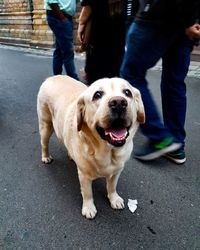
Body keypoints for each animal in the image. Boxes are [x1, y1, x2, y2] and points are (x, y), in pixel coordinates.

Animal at [36, 75, 145, 219]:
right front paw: (89, 208)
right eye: (97, 95)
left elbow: (112, 187)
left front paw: (114, 198)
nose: (119, 103)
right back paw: (46, 156)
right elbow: (87, 193)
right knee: (44, 143)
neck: (108, 152)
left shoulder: (117, 171)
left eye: (127, 93)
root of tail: (53, 76)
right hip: (46, 125)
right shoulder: (84, 175)